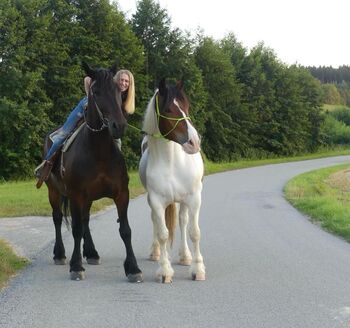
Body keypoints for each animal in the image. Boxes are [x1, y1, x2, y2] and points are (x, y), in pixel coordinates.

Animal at [44, 63, 142, 282]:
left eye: (119, 91)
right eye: (95, 92)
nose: (118, 125)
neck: (99, 152)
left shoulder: (121, 194)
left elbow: (126, 230)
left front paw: (133, 268)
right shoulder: (75, 195)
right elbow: (75, 229)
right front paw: (76, 266)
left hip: (86, 198)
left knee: (85, 220)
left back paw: (91, 253)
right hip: (54, 191)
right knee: (57, 218)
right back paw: (60, 254)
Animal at [139, 79, 205, 282]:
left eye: (186, 106)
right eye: (168, 109)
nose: (194, 142)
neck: (172, 163)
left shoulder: (194, 199)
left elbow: (194, 232)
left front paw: (198, 269)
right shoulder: (156, 201)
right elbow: (162, 234)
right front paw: (165, 270)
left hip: (184, 201)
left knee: (183, 221)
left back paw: (185, 256)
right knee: (156, 222)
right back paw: (156, 253)